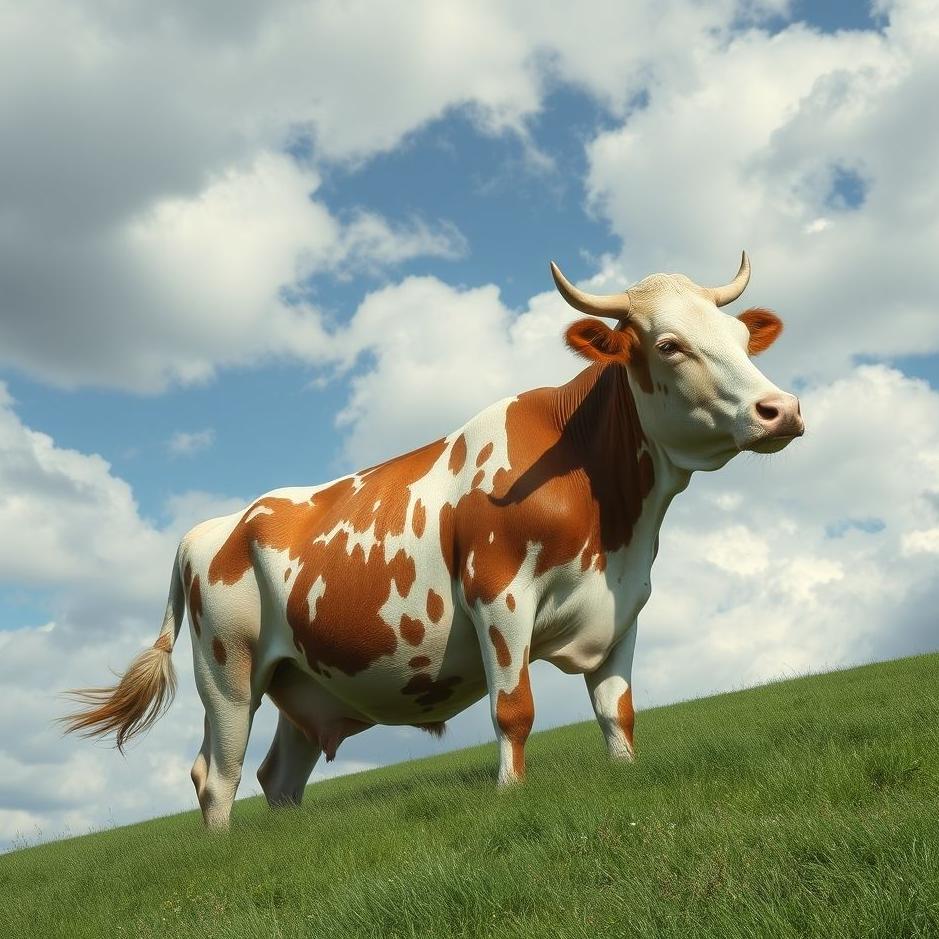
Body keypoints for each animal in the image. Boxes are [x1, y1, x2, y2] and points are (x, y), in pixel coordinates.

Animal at [63, 252, 803, 830]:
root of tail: (213, 525)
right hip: (227, 669)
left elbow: (617, 712)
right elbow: (514, 709)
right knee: (217, 774)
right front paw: (509, 796)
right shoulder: (498, 594)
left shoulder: (622, 606)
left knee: (279, 776)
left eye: (742, 337)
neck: (612, 517)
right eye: (669, 344)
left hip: (299, 677)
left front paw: (623, 772)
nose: (781, 410)